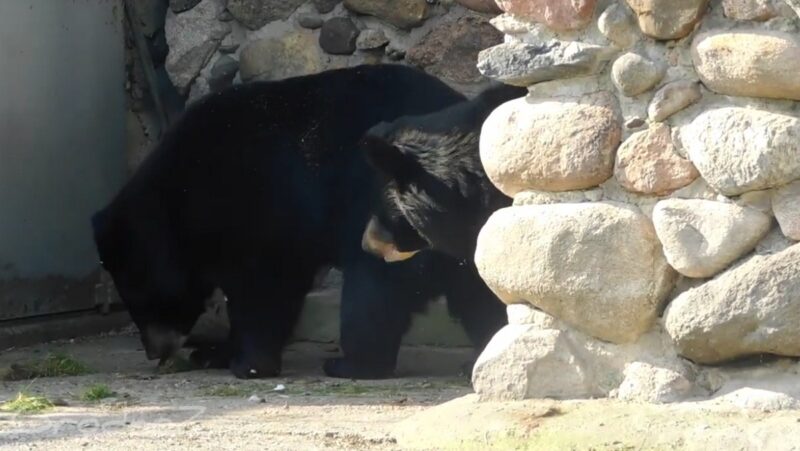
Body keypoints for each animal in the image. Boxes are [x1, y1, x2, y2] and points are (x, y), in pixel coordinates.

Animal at [92, 65, 468, 380]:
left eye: (142, 296)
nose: (155, 351)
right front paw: (213, 352)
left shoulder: (261, 203)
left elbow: (264, 287)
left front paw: (249, 364)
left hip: (391, 222)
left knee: (372, 289)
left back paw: (351, 363)